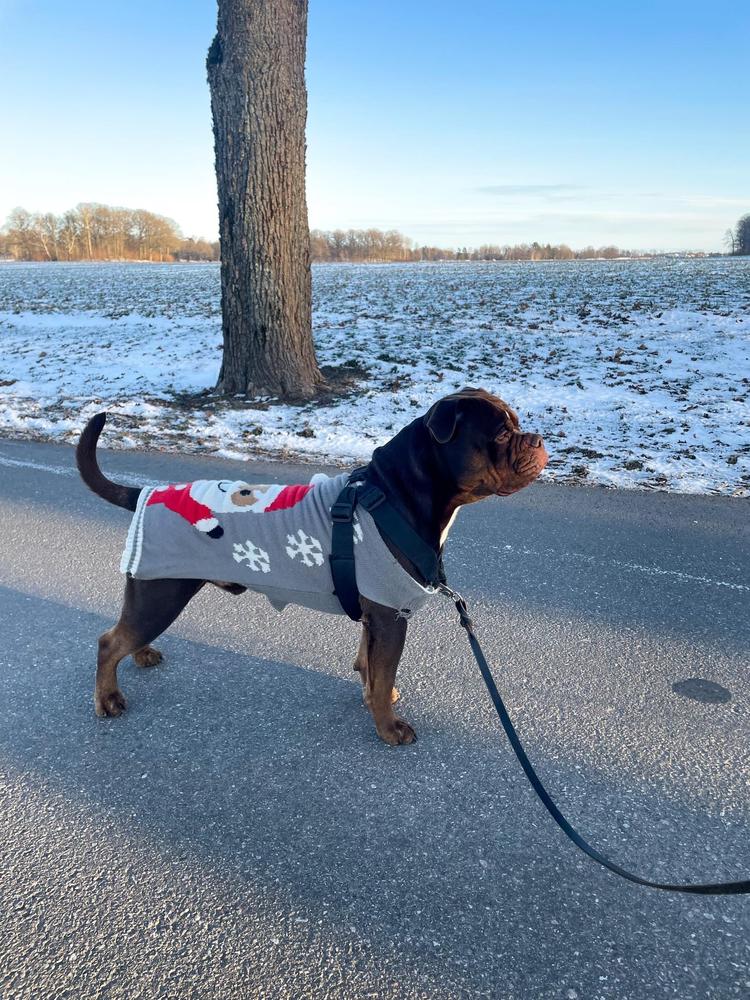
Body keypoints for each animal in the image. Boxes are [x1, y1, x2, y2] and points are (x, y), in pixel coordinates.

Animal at [76, 386, 548, 748]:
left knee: (127, 632)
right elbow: (382, 672)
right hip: (162, 593)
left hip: (156, 592)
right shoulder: (390, 614)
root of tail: (145, 494)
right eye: (502, 433)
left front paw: (377, 696)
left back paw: (142, 655)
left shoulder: (375, 615)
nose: (537, 438)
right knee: (108, 641)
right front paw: (388, 727)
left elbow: (370, 666)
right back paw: (109, 699)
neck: (397, 492)